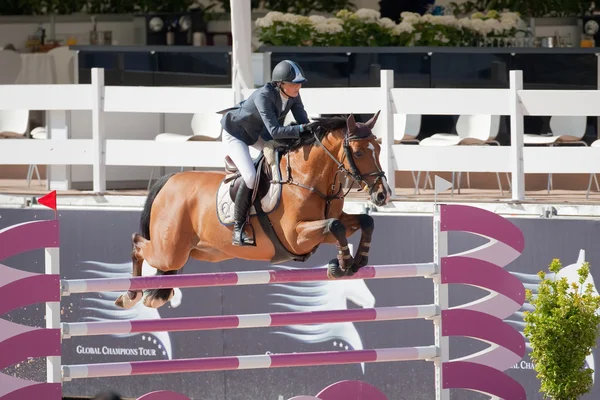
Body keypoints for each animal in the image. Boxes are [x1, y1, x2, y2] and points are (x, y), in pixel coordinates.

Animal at [115, 112, 392, 310]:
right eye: (358, 152)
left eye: (378, 149)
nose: (383, 194)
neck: (308, 179)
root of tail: (169, 180)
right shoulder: (296, 237)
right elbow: (335, 225)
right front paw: (342, 264)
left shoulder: (326, 226)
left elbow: (363, 222)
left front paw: (359, 260)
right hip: (170, 252)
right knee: (137, 243)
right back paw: (129, 295)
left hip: (202, 252)